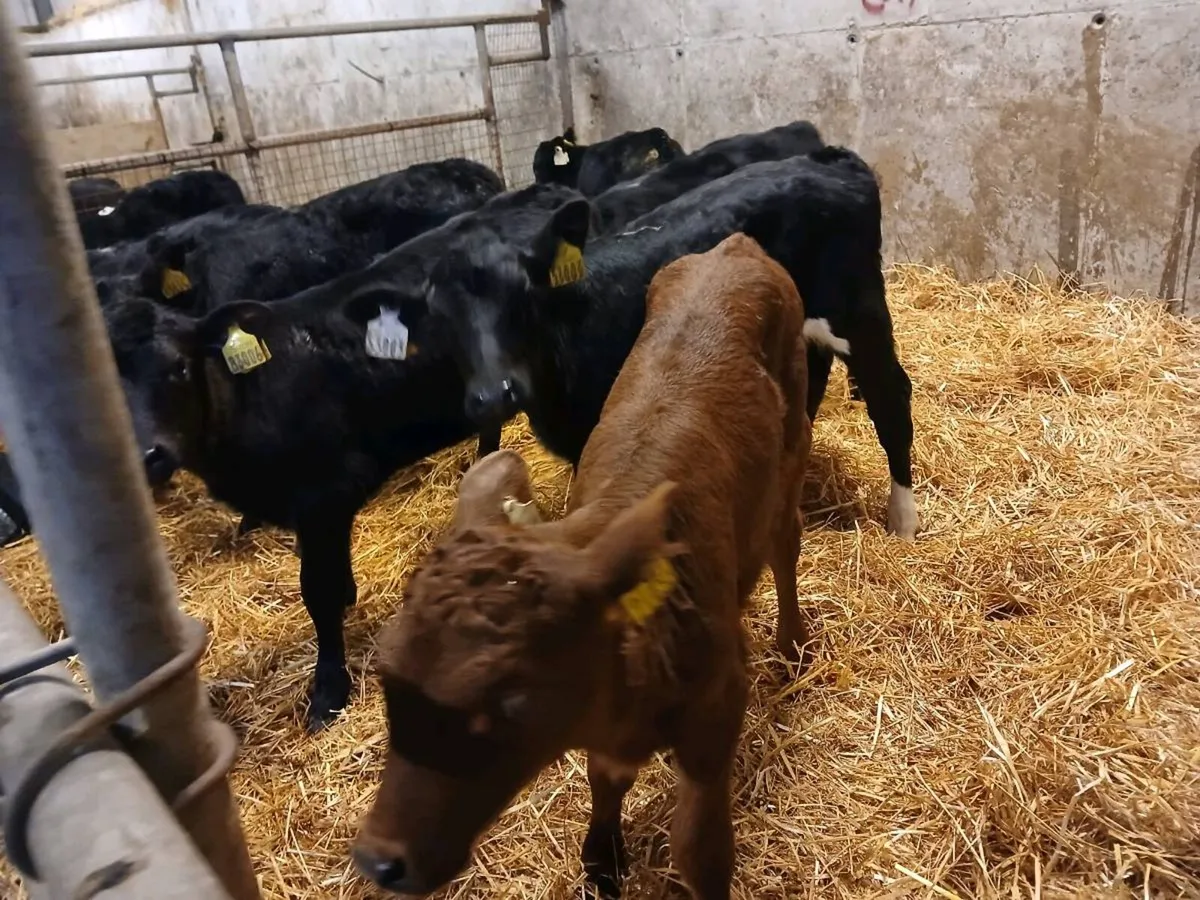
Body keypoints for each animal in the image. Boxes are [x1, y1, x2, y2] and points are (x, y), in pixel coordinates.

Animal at [353, 233, 814, 899]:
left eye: (511, 701)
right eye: (389, 680)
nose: (379, 860)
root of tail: (733, 248)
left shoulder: (718, 708)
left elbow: (701, 848)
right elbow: (605, 776)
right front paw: (602, 856)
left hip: (795, 435)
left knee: (784, 542)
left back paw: (793, 643)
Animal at [414, 146, 919, 539]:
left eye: (522, 296)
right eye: (438, 317)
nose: (494, 394)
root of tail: (829, 159)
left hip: (858, 311)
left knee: (891, 396)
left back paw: (903, 520)